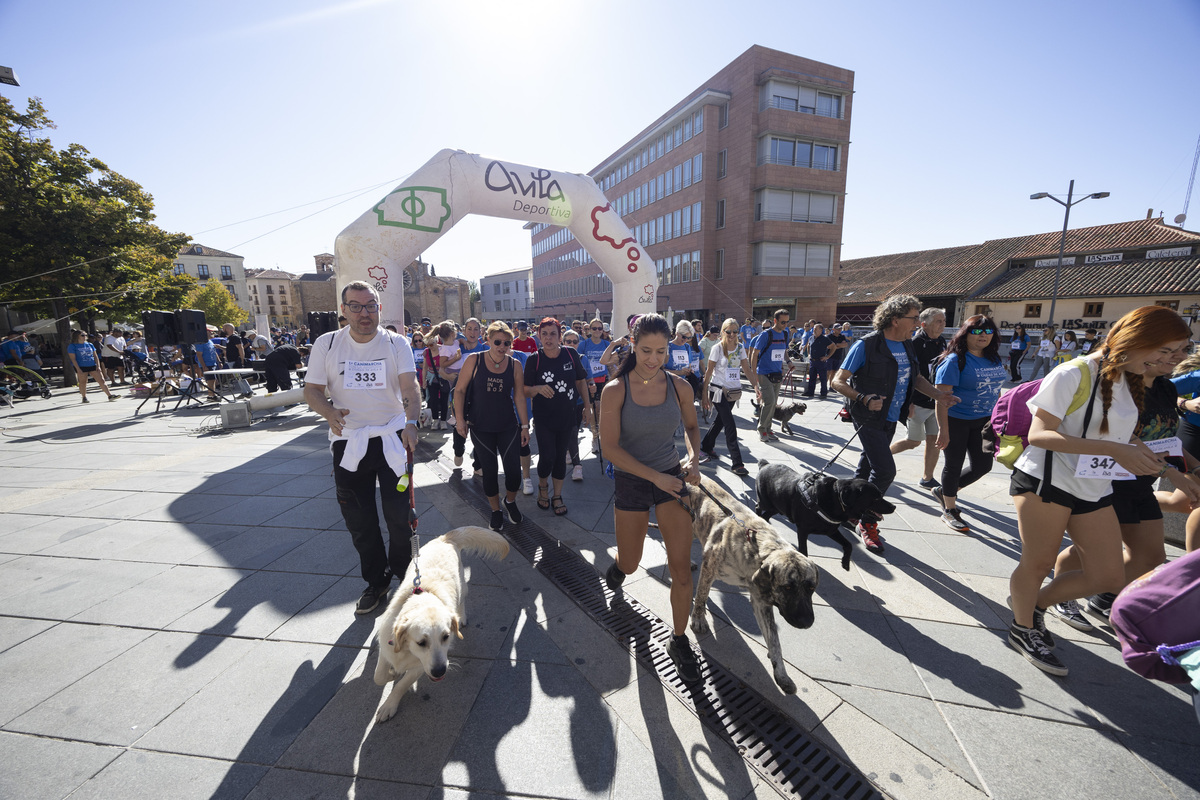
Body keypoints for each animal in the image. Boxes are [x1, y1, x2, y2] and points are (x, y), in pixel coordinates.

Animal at [372, 527, 508, 724]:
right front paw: (392, 675)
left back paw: (462, 617)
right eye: (421, 643)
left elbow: (402, 685)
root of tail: (444, 538)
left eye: (446, 637)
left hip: (462, 585)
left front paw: (389, 705)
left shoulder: (420, 667)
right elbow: (379, 677)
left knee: (462, 600)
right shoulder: (386, 648)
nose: (439, 671)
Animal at [753, 462, 897, 568]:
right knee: (758, 508)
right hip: (766, 502)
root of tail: (765, 465)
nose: (894, 507)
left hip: (777, 507)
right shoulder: (803, 531)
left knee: (766, 516)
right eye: (876, 498)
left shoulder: (831, 530)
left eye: (881, 495)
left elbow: (848, 545)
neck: (835, 499)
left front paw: (845, 563)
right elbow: (804, 551)